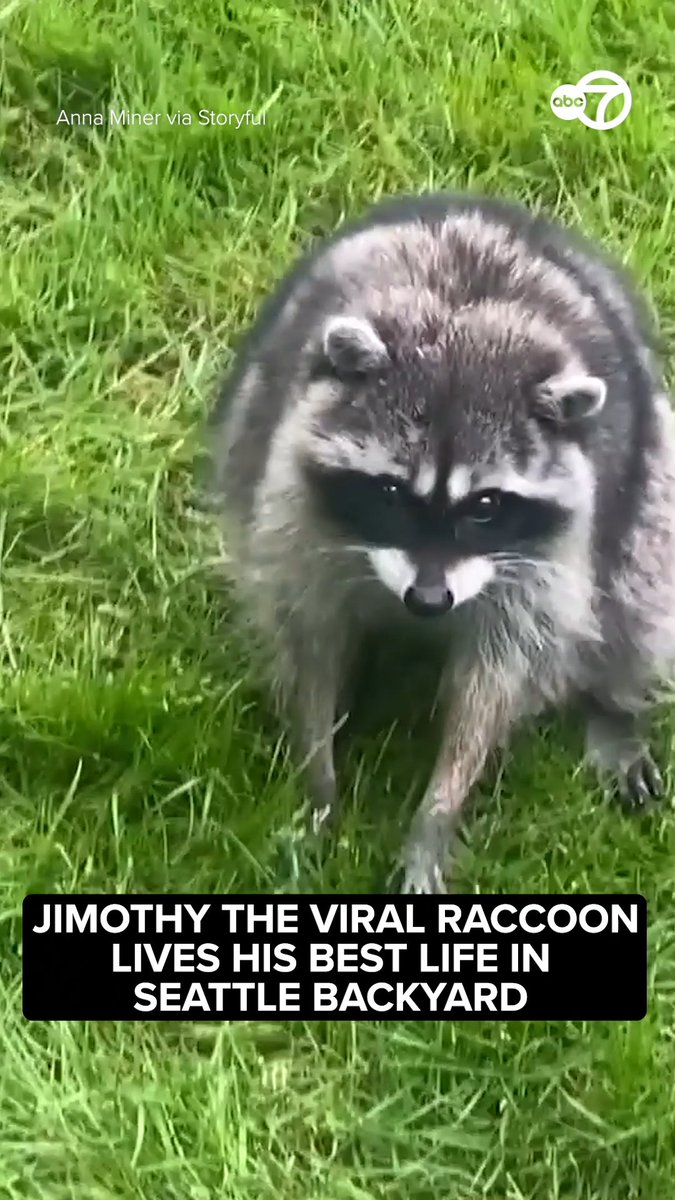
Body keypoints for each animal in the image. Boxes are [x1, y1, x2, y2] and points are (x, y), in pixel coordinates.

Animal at [207, 191, 675, 894]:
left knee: (638, 589)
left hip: (650, 479)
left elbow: (493, 684)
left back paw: (614, 704)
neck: (463, 325)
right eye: (392, 493)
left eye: (485, 507)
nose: (428, 601)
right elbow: (311, 637)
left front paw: (437, 812)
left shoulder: (544, 561)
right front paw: (318, 778)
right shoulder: (294, 506)